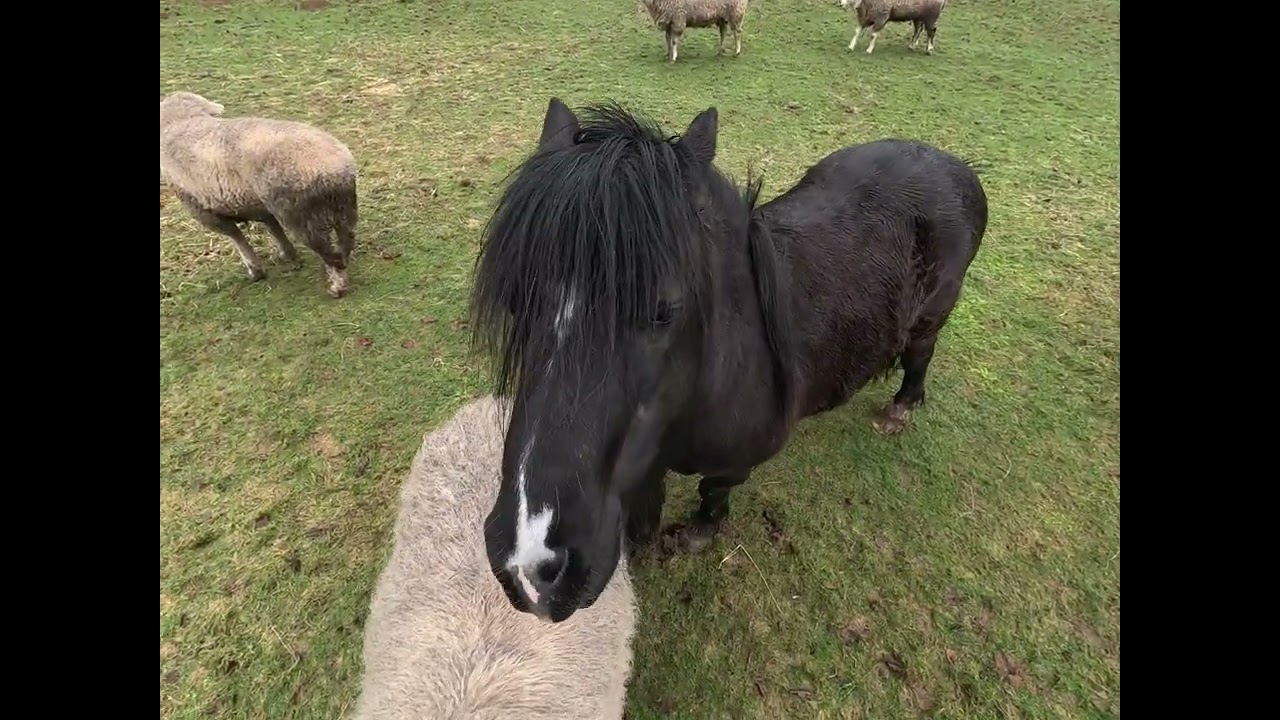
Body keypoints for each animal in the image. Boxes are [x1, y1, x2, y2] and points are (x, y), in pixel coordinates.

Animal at [159, 91, 360, 298]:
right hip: (343, 208)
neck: (182, 121)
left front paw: (255, 270)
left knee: (331, 255)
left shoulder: (202, 210)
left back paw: (337, 287)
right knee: (345, 243)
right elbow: (272, 226)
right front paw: (287, 253)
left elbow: (236, 237)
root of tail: (334, 169)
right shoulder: (259, 205)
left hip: (300, 217)